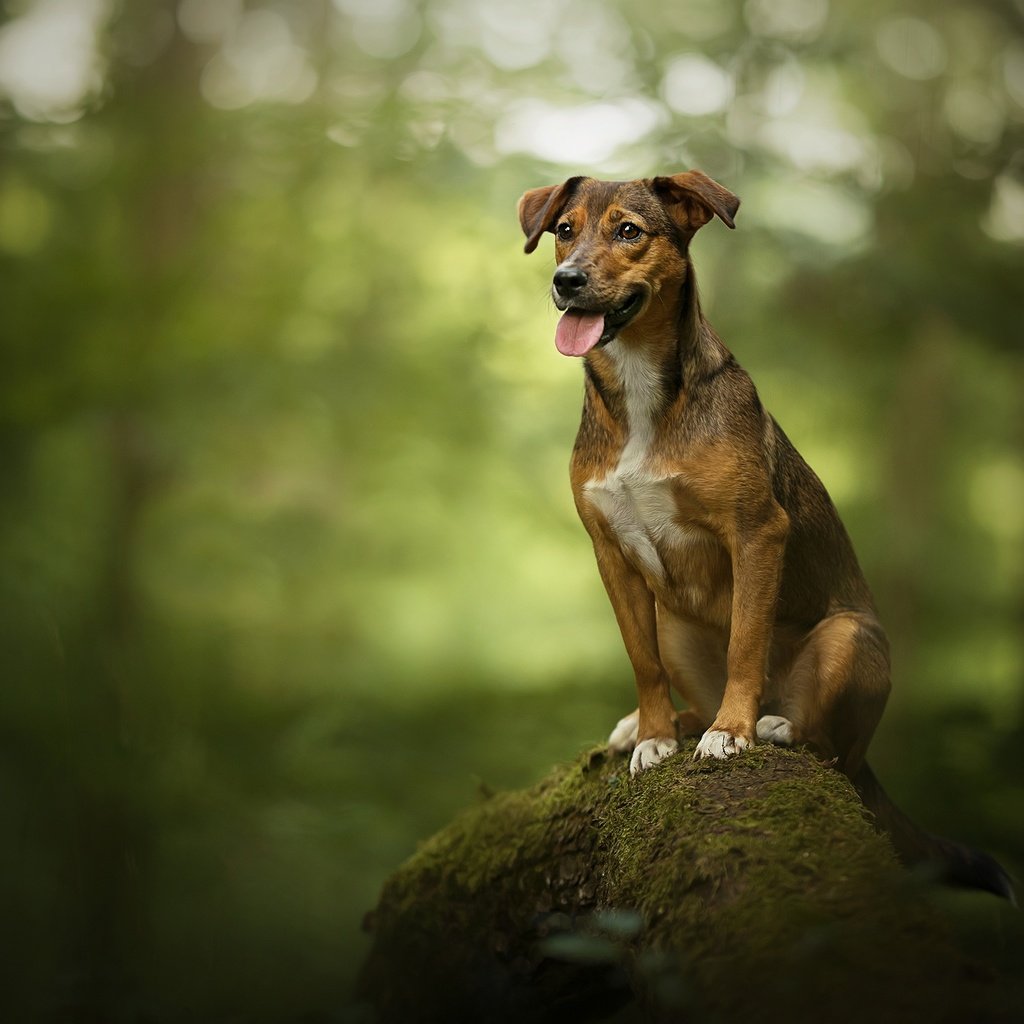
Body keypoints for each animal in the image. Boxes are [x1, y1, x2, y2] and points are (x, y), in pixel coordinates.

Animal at [516, 167, 1011, 897]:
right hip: (673, 621)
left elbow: (746, 642)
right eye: (564, 230)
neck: (640, 391)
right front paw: (655, 736)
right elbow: (641, 662)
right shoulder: (611, 555)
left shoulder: (755, 532)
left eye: (629, 231)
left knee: (828, 749)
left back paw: (772, 724)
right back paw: (664, 724)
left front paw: (733, 732)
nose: (566, 281)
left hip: (851, 638)